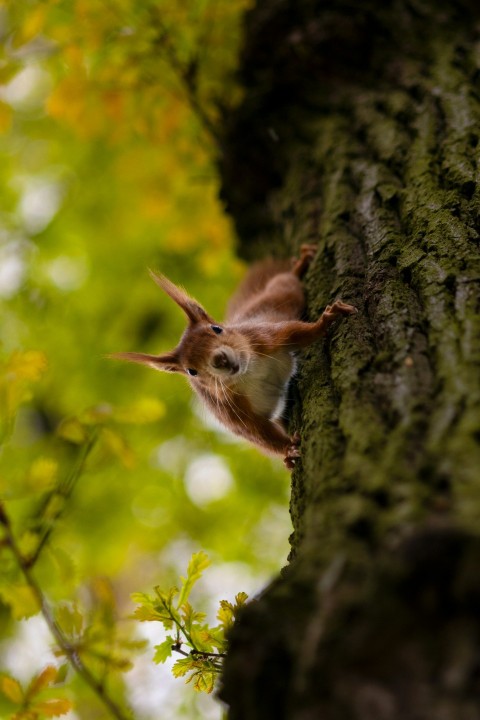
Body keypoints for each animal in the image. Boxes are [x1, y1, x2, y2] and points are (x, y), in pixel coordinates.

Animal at [111, 246, 356, 472]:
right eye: (191, 371)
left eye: (217, 329)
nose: (220, 360)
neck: (250, 372)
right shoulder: (229, 409)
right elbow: (256, 432)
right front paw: (288, 450)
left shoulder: (263, 337)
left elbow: (298, 332)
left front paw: (325, 321)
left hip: (279, 297)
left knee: (285, 283)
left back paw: (300, 265)